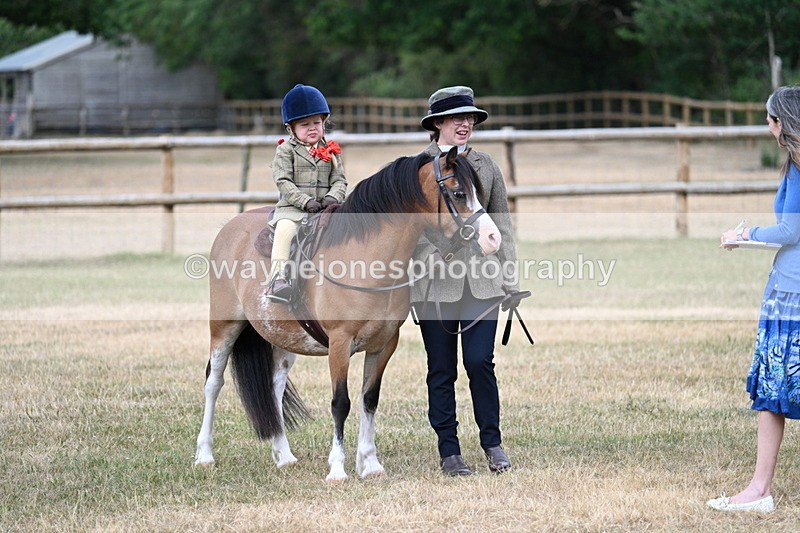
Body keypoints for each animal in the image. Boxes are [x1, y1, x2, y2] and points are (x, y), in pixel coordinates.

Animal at [194, 148, 502, 483]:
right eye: (458, 193)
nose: (493, 238)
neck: (365, 260)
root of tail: (230, 228)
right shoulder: (340, 345)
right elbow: (341, 403)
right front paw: (338, 469)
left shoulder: (384, 345)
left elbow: (369, 400)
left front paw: (370, 463)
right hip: (224, 327)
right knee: (214, 382)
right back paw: (204, 455)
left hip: (283, 338)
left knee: (274, 388)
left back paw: (284, 456)